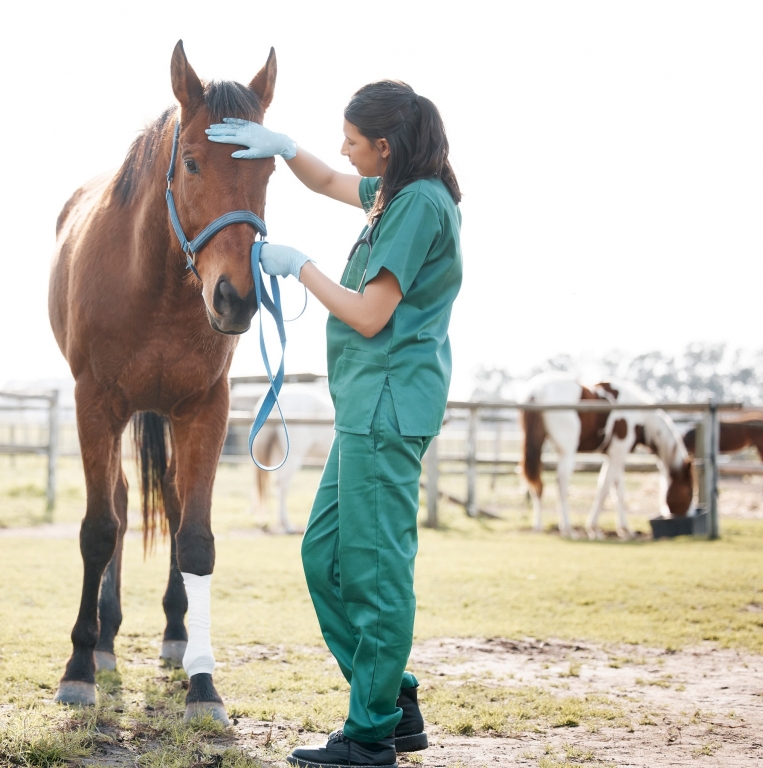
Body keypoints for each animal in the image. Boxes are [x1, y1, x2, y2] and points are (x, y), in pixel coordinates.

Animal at [46, 40, 278, 728]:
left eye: (270, 170)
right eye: (194, 162)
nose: (236, 298)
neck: (152, 284)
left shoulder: (205, 408)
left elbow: (195, 539)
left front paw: (204, 686)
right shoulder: (94, 404)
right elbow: (98, 530)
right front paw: (78, 668)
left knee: (170, 507)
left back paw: (175, 636)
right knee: (121, 508)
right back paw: (103, 641)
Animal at [524, 376, 696, 536]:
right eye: (689, 492)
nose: (690, 514)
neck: (639, 415)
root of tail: (537, 391)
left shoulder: (614, 455)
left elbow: (618, 491)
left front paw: (625, 529)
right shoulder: (617, 453)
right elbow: (604, 488)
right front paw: (593, 528)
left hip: (536, 445)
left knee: (537, 484)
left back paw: (538, 526)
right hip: (567, 450)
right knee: (561, 483)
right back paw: (568, 528)